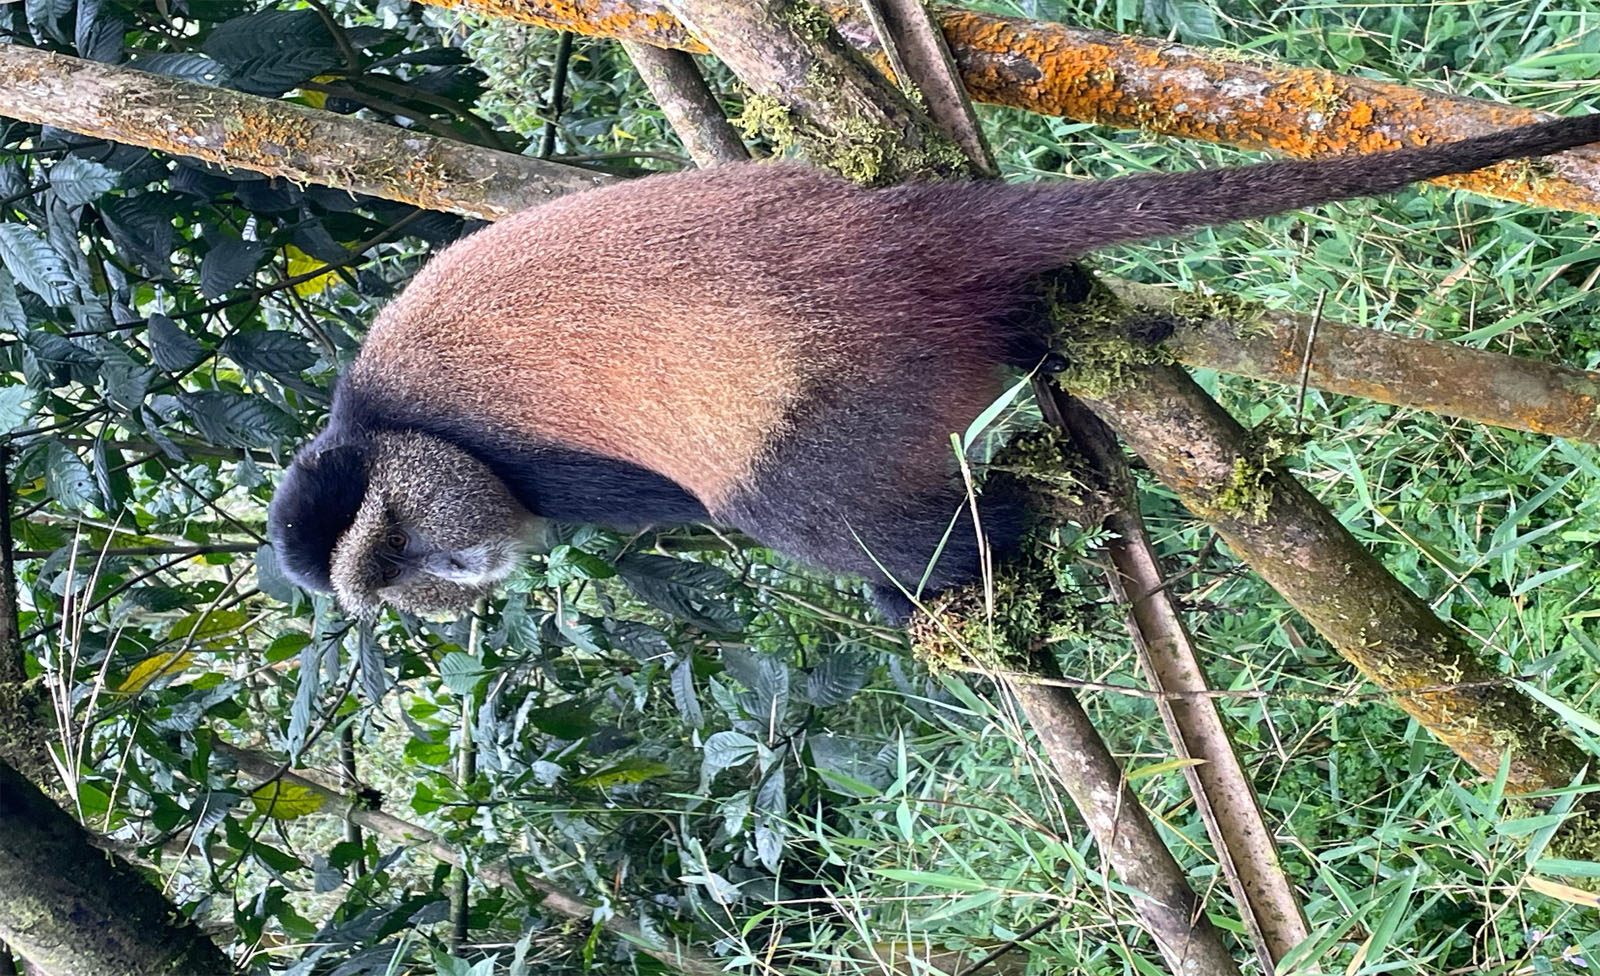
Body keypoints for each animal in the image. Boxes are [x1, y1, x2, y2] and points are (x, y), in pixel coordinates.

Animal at [268, 113, 1600, 621]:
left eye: (400, 551)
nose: (458, 577)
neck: (382, 427)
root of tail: (891, 232)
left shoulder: (544, 468)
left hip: (865, 379)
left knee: (793, 505)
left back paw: (978, 552)